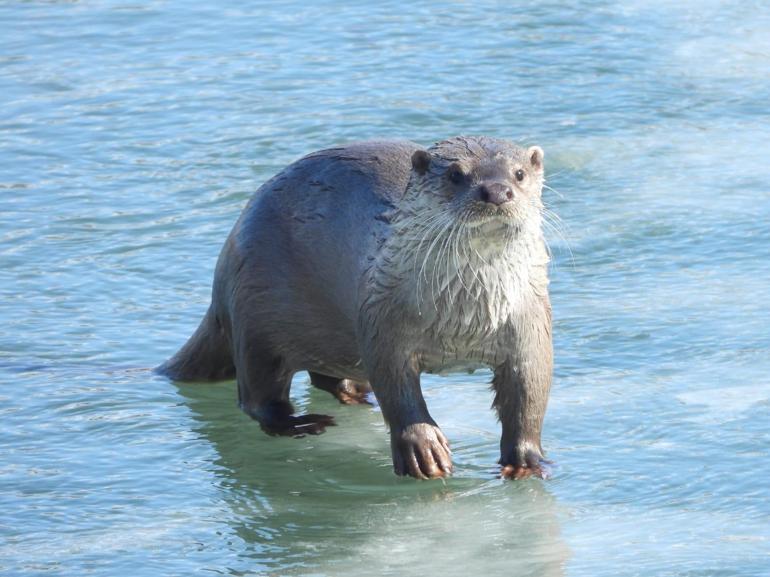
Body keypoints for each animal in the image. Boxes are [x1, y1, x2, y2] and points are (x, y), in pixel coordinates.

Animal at [158, 135, 552, 476]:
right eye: (456, 174)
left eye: (518, 173)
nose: (496, 191)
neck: (465, 316)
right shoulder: (382, 319)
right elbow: (398, 390)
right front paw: (422, 448)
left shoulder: (530, 325)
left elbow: (530, 395)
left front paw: (527, 460)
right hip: (253, 316)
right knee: (257, 399)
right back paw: (303, 423)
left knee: (323, 376)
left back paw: (355, 396)